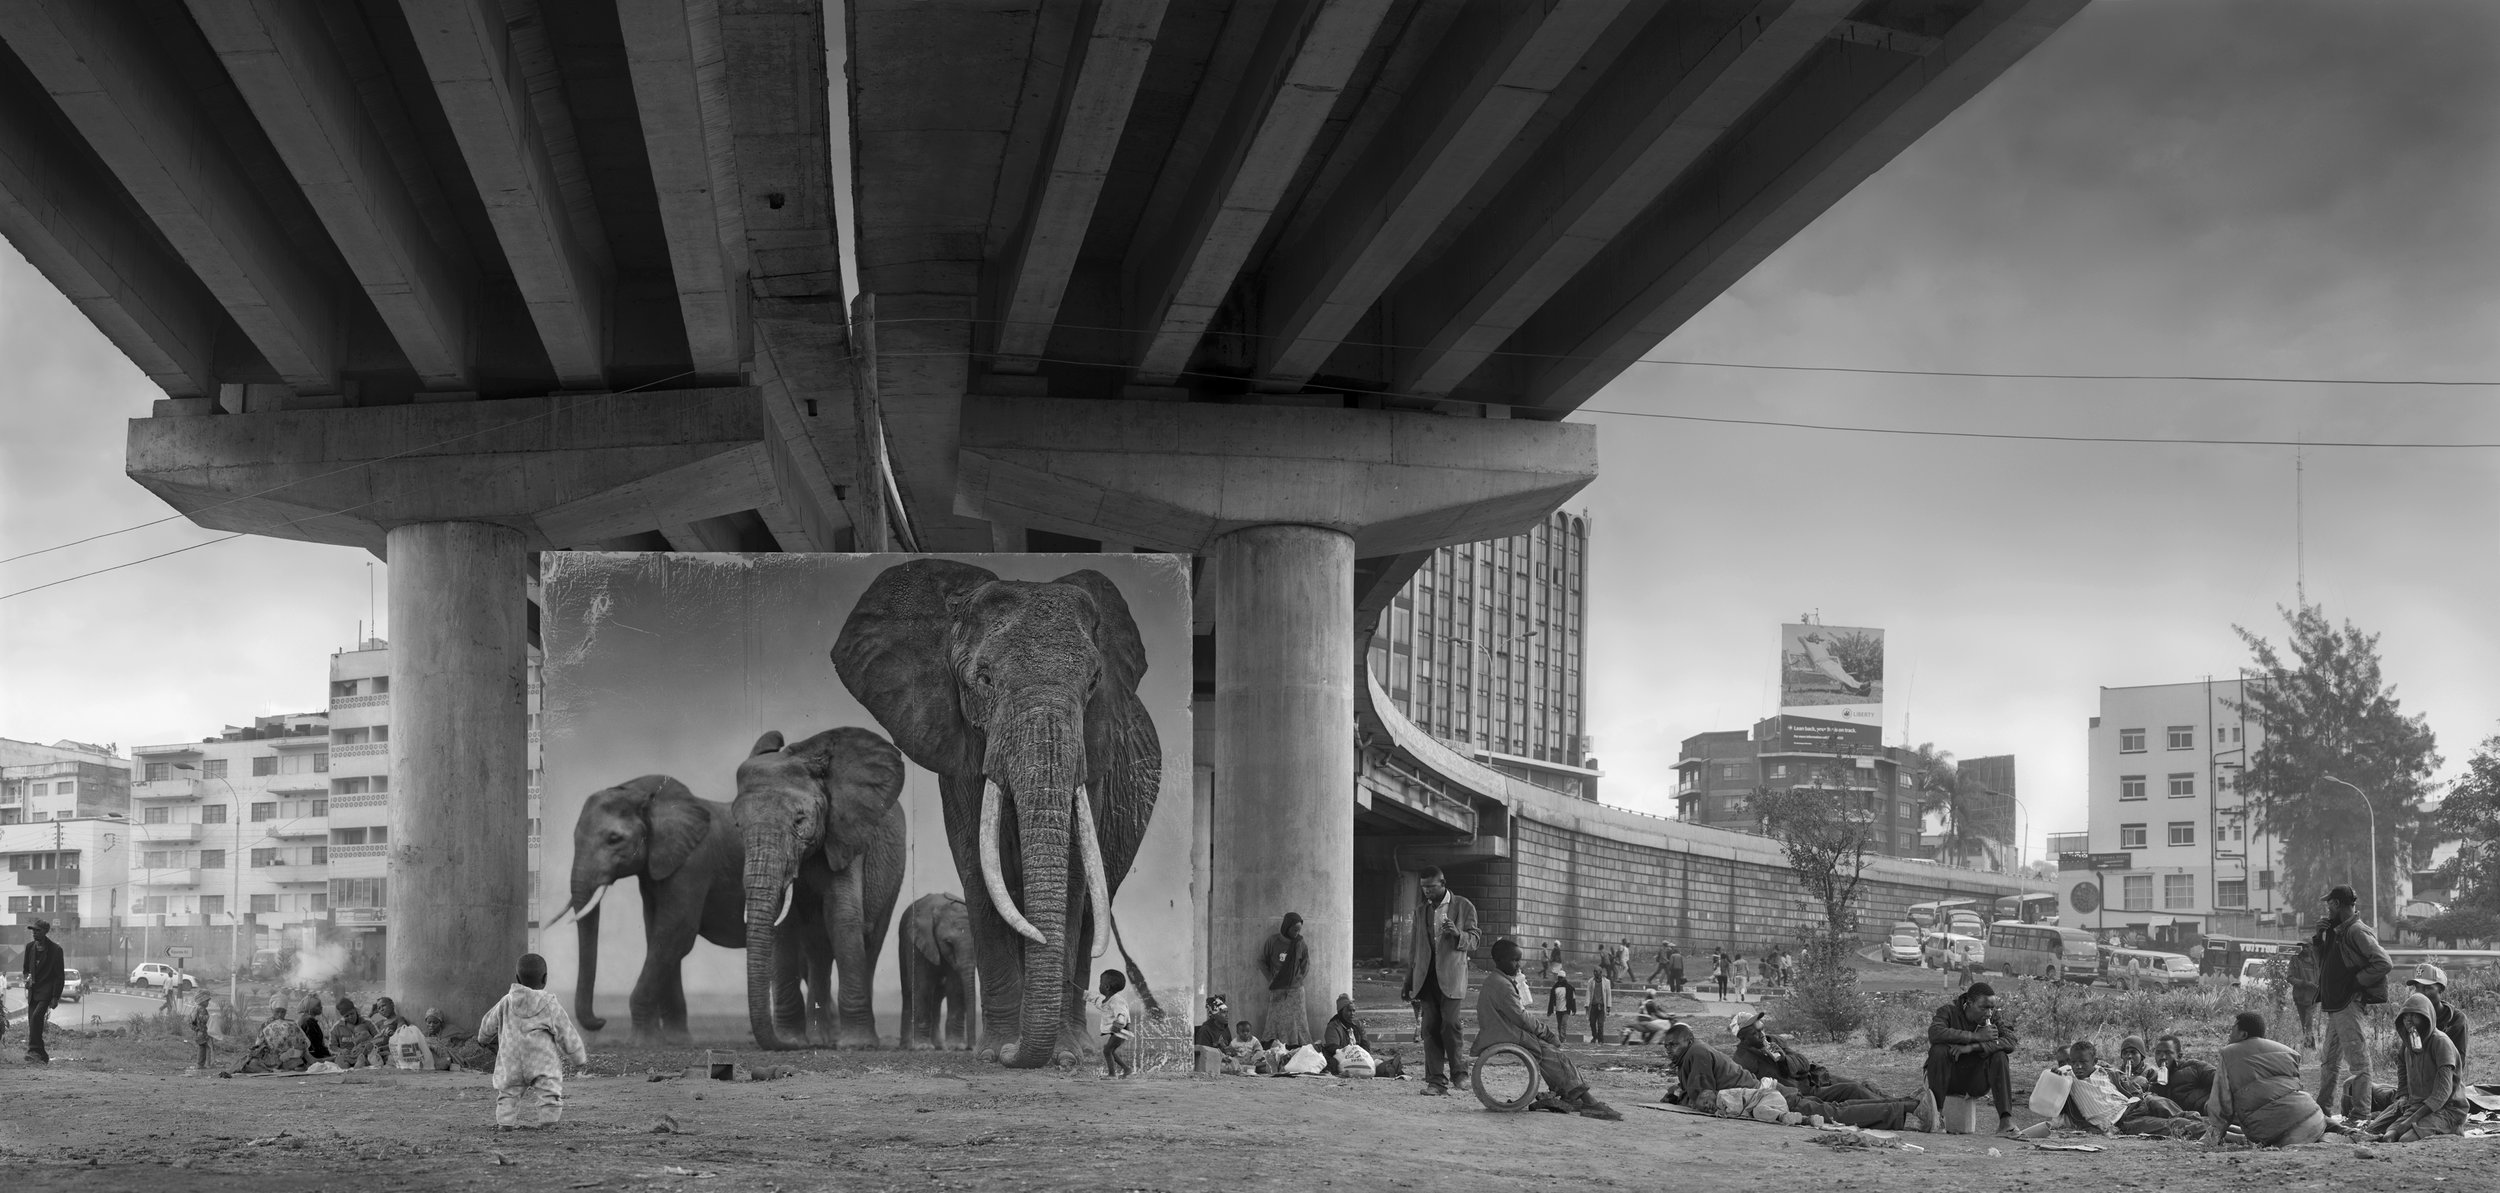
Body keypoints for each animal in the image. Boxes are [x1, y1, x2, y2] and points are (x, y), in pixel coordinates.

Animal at [900, 890, 975, 1045]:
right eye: (948, 943)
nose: (971, 1047)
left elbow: (956, 987)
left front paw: (956, 1046)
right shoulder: (918, 944)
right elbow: (922, 986)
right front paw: (923, 1047)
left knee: (937, 996)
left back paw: (939, 1045)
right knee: (908, 992)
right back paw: (908, 1045)